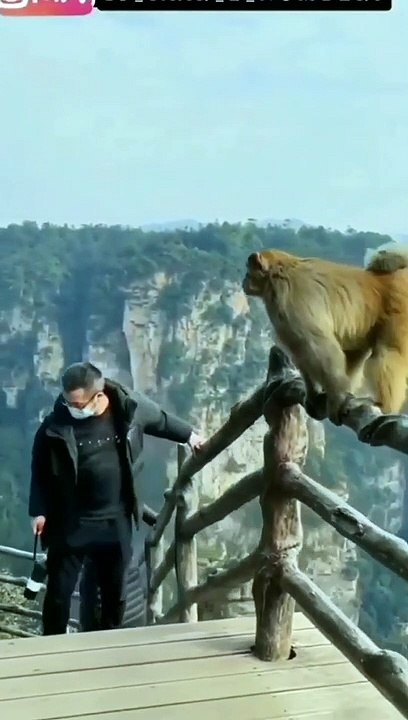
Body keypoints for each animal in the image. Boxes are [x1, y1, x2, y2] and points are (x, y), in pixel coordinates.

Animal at [242, 246, 408, 421]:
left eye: (248, 270)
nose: (244, 281)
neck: (279, 271)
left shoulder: (289, 297)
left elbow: (318, 347)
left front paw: (337, 399)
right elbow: (300, 350)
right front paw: (313, 394)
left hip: (399, 310)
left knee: (387, 352)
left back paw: (383, 405)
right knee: (354, 350)